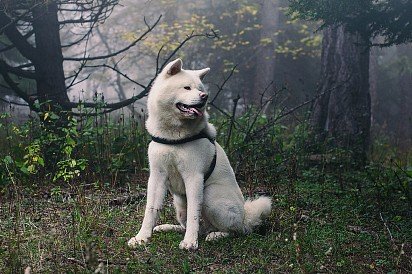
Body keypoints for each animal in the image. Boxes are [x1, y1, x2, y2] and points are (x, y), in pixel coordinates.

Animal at [127, 58, 272, 249]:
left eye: (200, 89)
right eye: (187, 88)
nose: (205, 97)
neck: (173, 136)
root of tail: (245, 218)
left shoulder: (194, 176)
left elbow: (193, 215)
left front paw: (190, 242)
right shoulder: (157, 176)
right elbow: (150, 210)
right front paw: (141, 238)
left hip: (210, 195)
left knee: (233, 230)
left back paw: (216, 235)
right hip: (179, 204)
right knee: (196, 226)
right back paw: (168, 227)